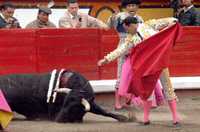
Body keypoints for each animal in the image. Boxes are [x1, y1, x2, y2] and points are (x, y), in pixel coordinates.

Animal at [0, 70, 128, 122]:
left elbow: (104, 112)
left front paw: (124, 118)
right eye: (64, 104)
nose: (58, 119)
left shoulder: (91, 103)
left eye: (75, 107)